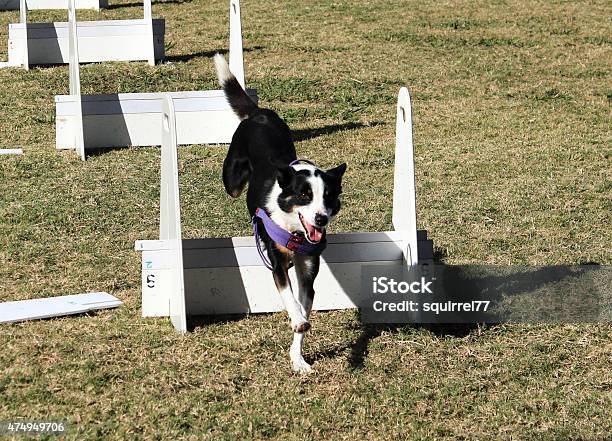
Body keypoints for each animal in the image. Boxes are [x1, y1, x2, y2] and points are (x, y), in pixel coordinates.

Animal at [215, 54, 346, 372]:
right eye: (304, 196)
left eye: (328, 197)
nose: (321, 219)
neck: (295, 233)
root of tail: (259, 112)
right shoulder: (276, 263)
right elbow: (290, 298)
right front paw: (297, 318)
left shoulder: (308, 267)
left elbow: (304, 304)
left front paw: (298, 358)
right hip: (232, 182)